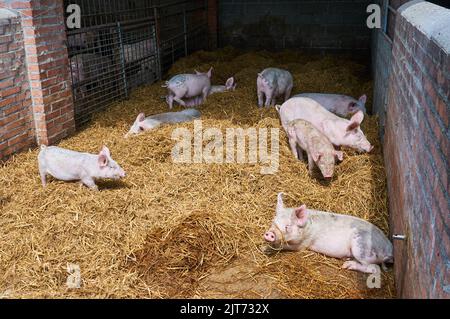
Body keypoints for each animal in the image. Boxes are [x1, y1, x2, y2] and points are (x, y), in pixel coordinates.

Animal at [264, 194, 394, 274]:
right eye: (273, 222)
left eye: (288, 227)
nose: (269, 234)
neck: (307, 227)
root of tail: (389, 248)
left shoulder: (302, 243)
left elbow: (288, 246)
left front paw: (266, 249)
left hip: (361, 248)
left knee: (374, 268)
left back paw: (346, 265)